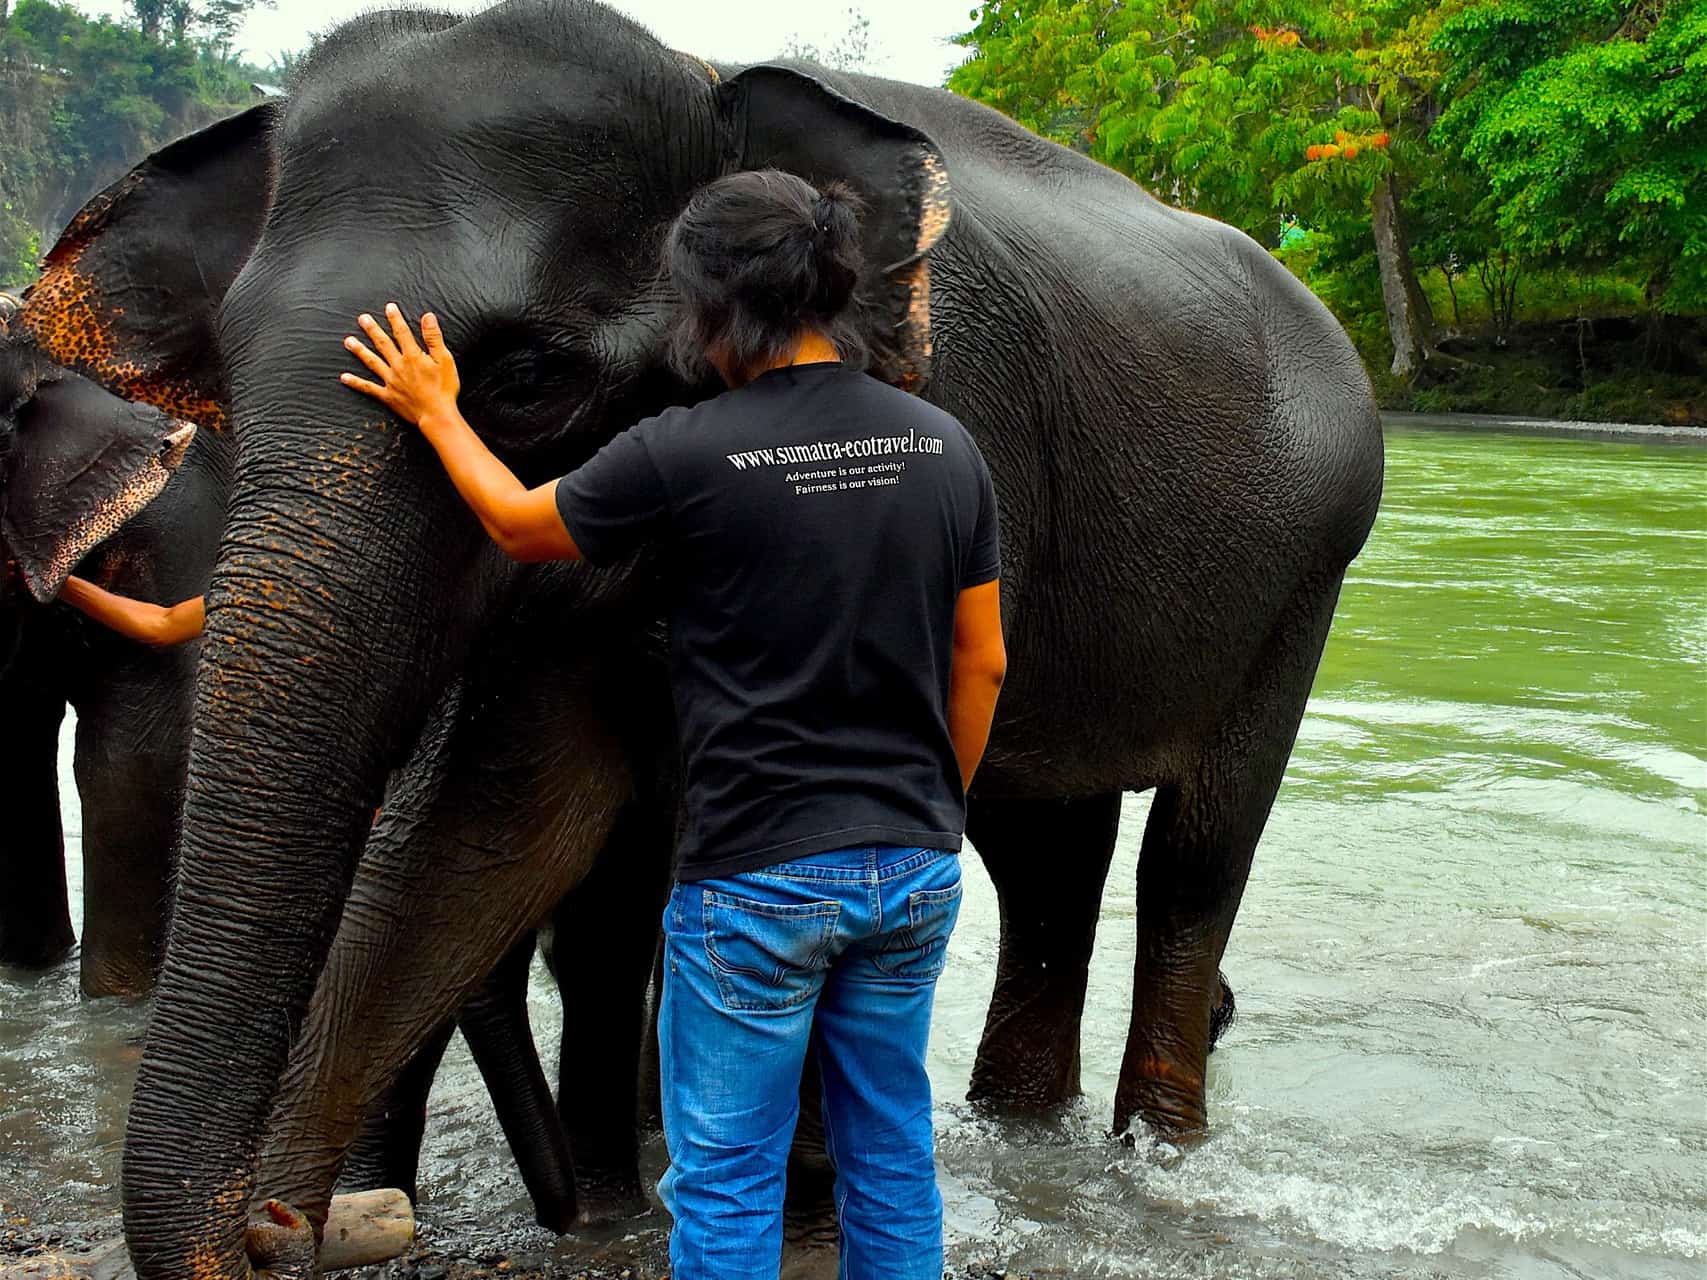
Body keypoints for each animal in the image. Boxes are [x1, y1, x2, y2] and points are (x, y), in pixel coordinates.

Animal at [23, 5, 1386, 1276]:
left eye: (526, 380)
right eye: (228, 380)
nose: (269, 1228)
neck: (703, 77)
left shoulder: (951, 402)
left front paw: (797, 1215)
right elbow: (494, 823)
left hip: (1309, 571)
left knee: (1193, 857)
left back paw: (1158, 1151)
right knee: (1049, 851)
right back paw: (1016, 1128)